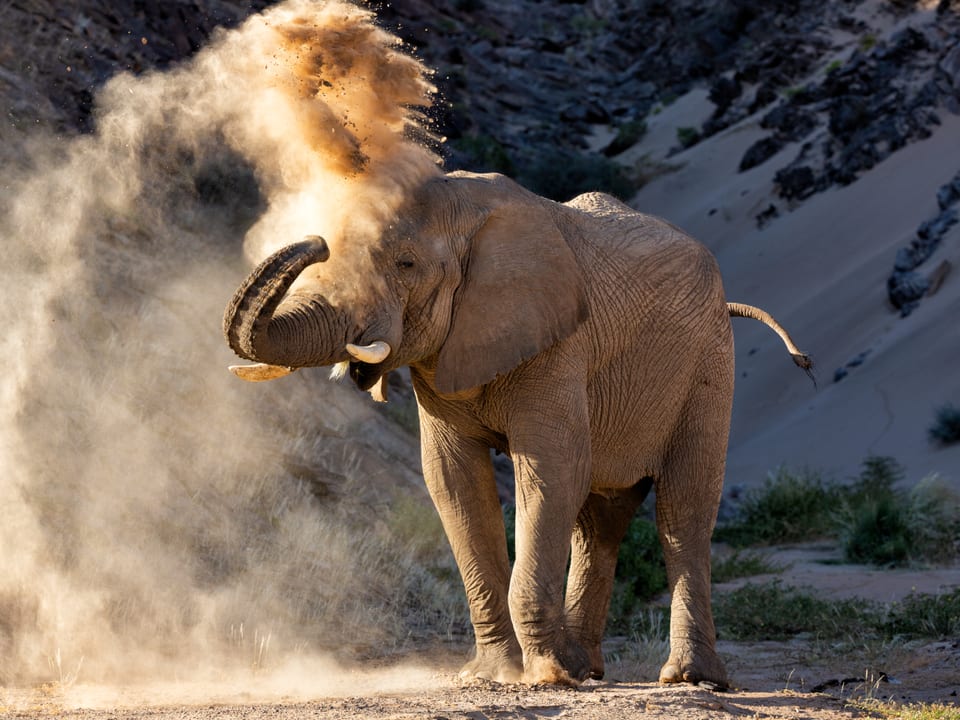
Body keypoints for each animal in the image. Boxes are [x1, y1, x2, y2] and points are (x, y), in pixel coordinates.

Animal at [219, 172, 808, 688]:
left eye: (406, 263)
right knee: (600, 521)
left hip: (709, 363)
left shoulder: (558, 342)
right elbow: (454, 482)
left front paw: (547, 677)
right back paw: (587, 668)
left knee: (682, 512)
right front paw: (496, 675)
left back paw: (688, 679)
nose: (315, 243)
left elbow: (550, 472)